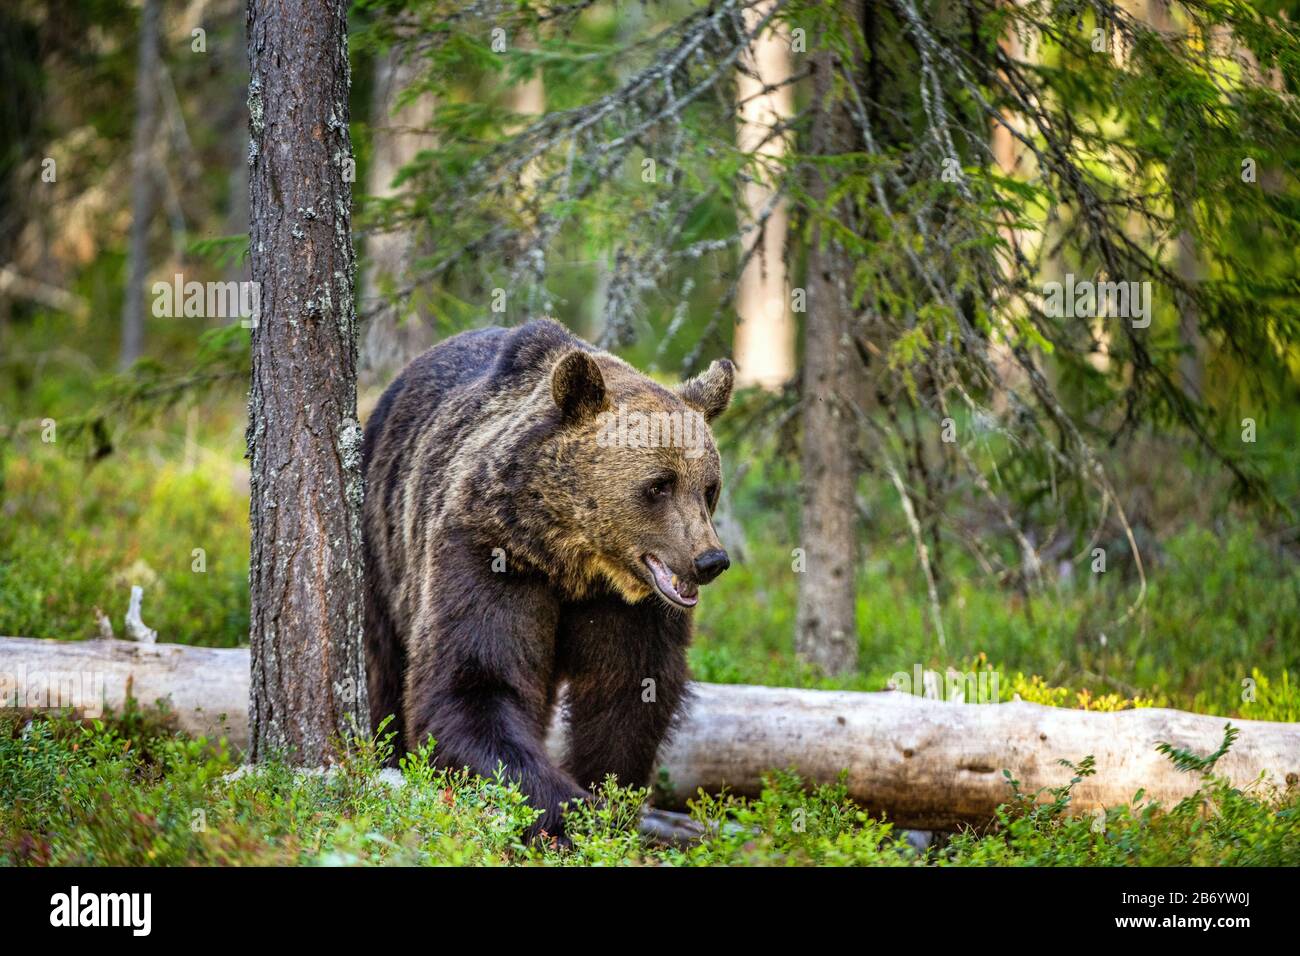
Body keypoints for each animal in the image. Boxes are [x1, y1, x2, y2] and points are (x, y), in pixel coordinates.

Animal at [361, 318, 734, 838]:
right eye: (659, 485)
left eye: (708, 487)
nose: (709, 560)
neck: (573, 558)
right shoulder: (489, 553)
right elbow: (475, 682)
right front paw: (569, 808)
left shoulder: (628, 608)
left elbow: (629, 695)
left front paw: (609, 798)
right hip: (383, 541)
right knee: (386, 664)